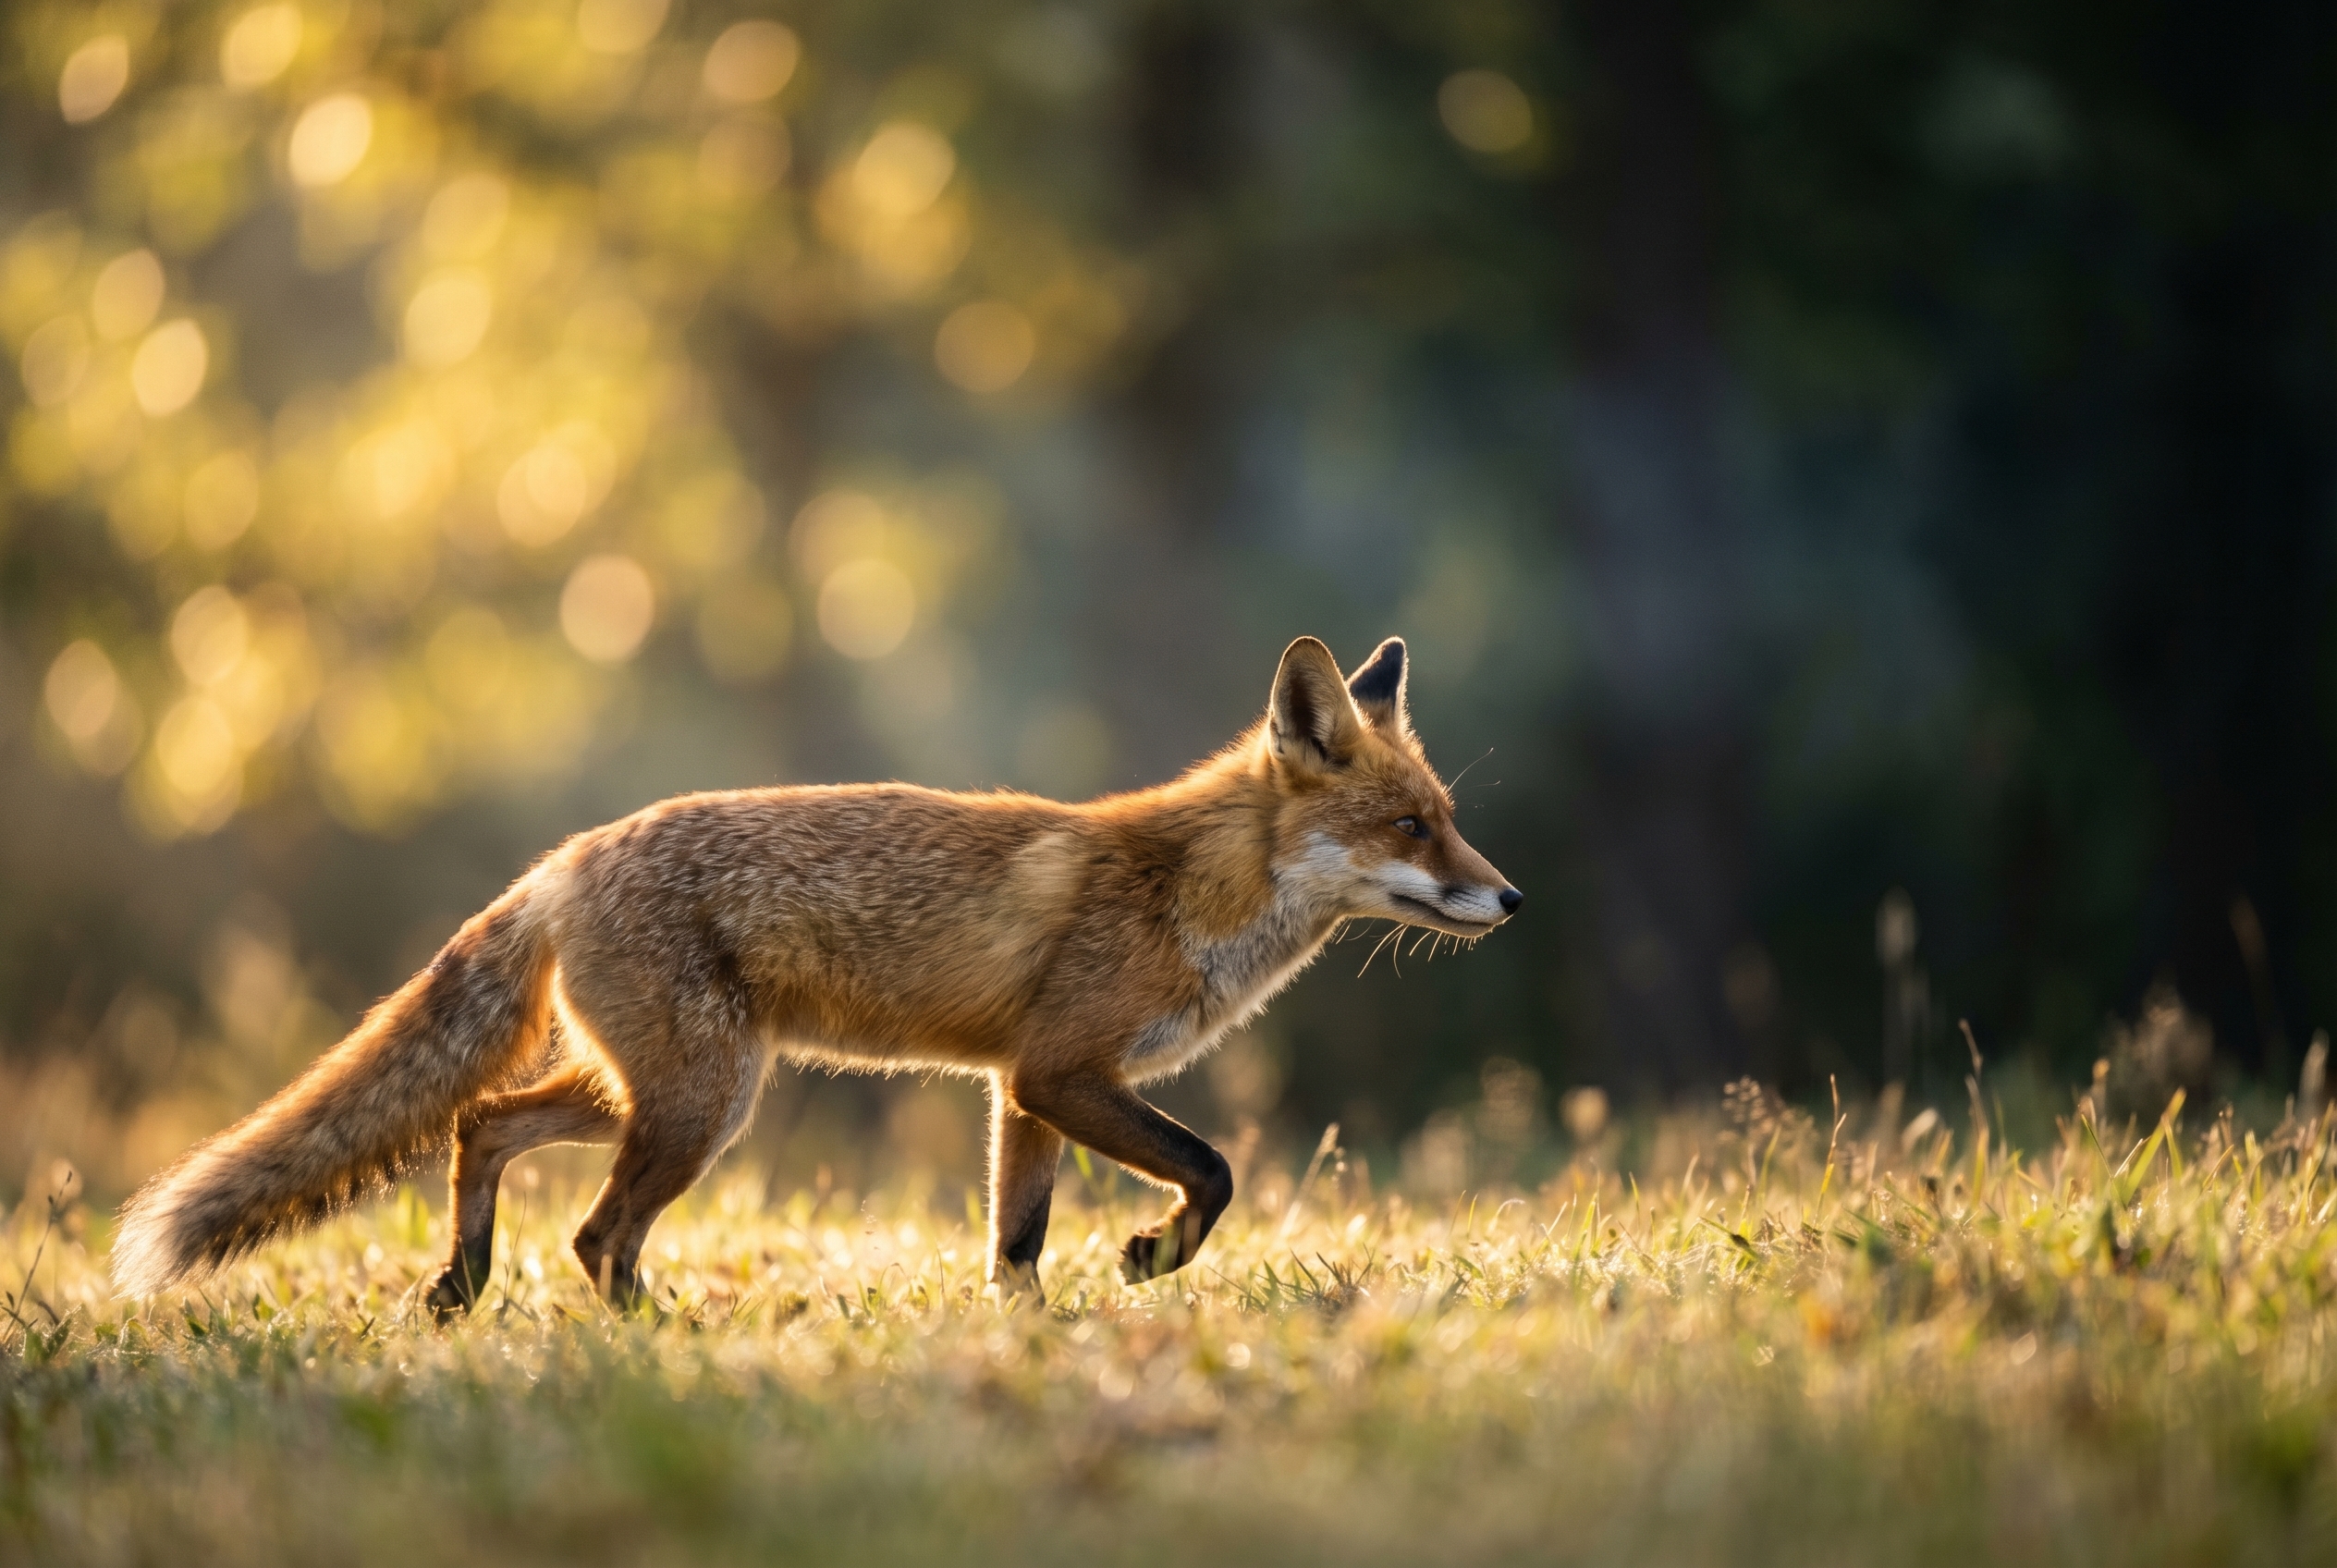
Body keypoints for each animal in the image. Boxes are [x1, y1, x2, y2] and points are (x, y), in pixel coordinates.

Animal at [111, 635, 1521, 1308]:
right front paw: (1149, 1259)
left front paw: (1026, 1344)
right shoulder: (1064, 1071)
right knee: (594, 1233)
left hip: (652, 1092)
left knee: (480, 1123)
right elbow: (1214, 1171)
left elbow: (1015, 1244)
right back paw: (656, 1342)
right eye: (1410, 828)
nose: (1509, 898)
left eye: (1449, 818)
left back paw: (460, 1288)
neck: (1187, 892)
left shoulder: (1020, 1091)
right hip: (702, 1104)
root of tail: (563, 858)